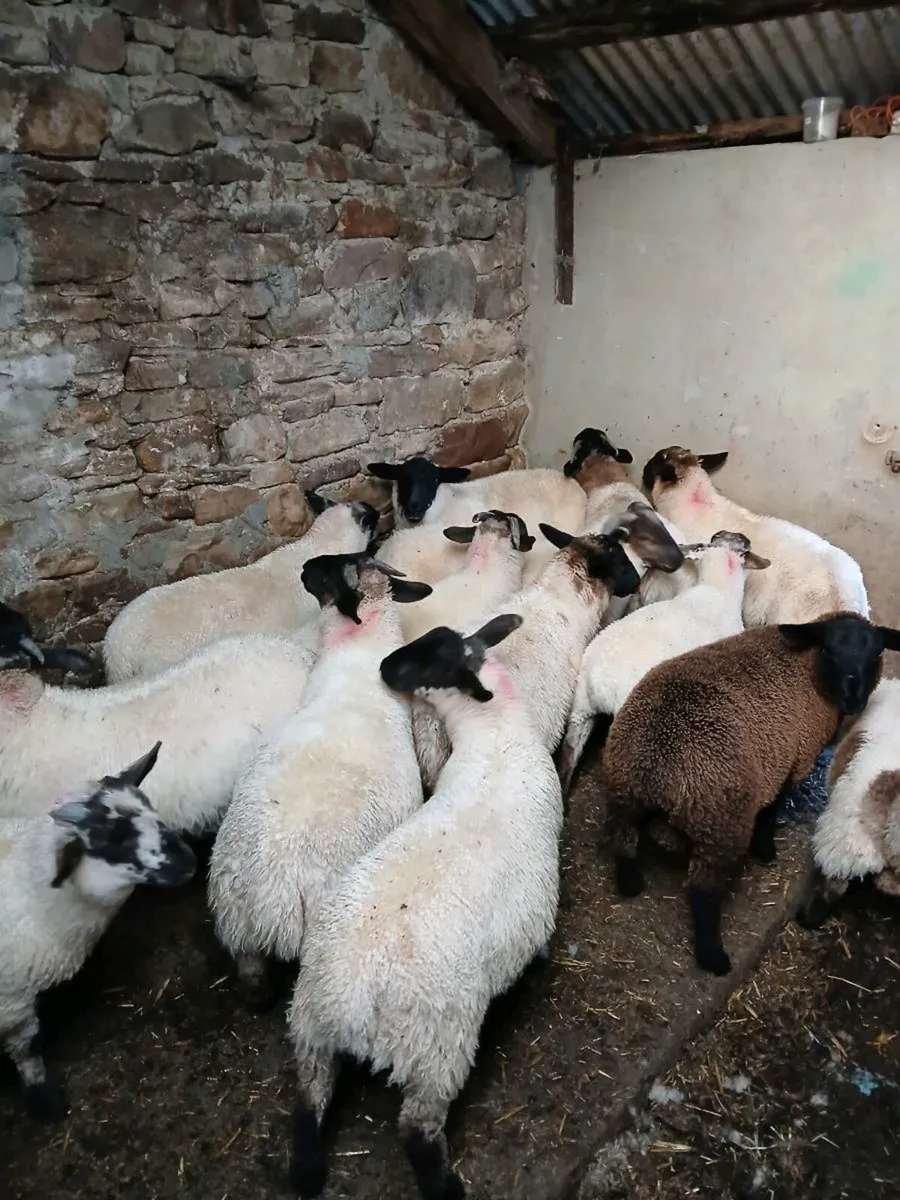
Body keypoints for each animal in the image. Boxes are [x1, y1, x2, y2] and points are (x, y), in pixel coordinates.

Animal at [0, 743, 195, 1120]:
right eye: (112, 840)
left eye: (149, 806)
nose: (188, 860)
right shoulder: (12, 1000)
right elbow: (27, 1046)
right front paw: (45, 1100)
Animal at [207, 553, 431, 1006]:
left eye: (331, 572)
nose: (306, 566)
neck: (360, 656)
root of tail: (270, 895)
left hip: (236, 926)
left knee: (253, 979)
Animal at [287, 613, 562, 1200]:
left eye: (428, 661)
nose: (384, 665)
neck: (496, 741)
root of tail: (351, 995)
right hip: (436, 1048)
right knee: (416, 1127)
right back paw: (446, 1186)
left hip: (310, 1024)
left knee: (308, 1099)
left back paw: (307, 1173)